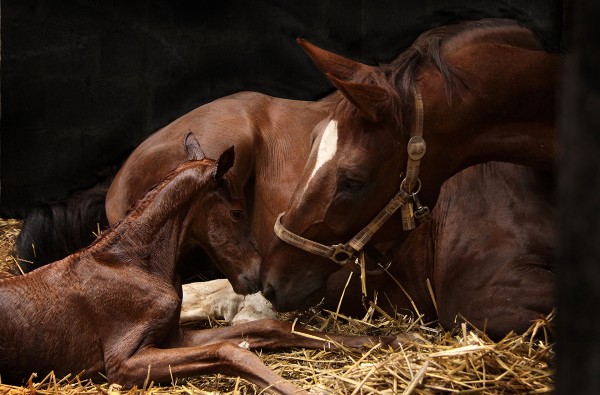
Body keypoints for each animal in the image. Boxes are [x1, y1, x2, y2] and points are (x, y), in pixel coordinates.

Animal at [0, 135, 392, 392]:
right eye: (237, 212)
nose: (257, 275)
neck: (132, 262)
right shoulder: (122, 363)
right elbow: (230, 349)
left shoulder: (173, 337)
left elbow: (267, 330)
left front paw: (385, 339)